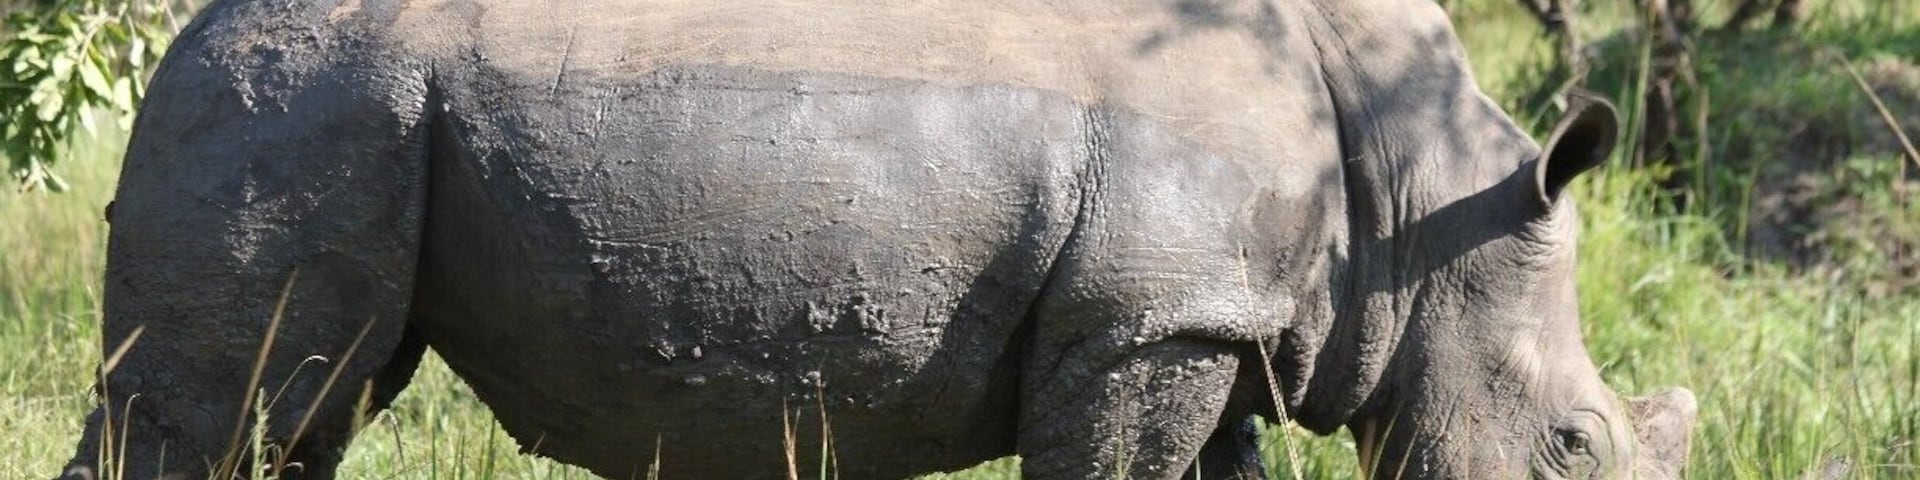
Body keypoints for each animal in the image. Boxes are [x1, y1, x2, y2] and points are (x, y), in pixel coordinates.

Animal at [59, 0, 1695, 479]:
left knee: (304, 409)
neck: (1422, 202)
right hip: (304, 98)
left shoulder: (1205, 316)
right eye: (1572, 448)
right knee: (230, 404)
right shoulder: (1146, 320)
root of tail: (192, 25)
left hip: (340, 104)